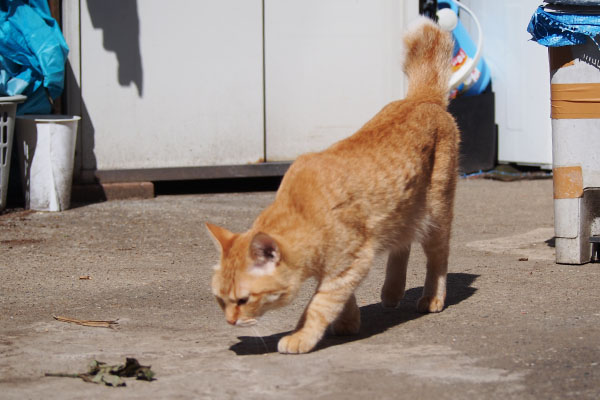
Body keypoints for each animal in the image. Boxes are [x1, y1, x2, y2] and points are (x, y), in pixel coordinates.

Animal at [206, 16, 460, 354]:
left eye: (243, 300)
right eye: (220, 300)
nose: (230, 321)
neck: (302, 209)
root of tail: (422, 99)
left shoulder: (350, 264)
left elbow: (319, 304)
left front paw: (301, 336)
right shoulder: (343, 268)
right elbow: (340, 298)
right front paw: (348, 322)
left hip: (436, 214)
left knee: (438, 256)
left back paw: (432, 297)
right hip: (401, 212)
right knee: (401, 246)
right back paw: (392, 292)